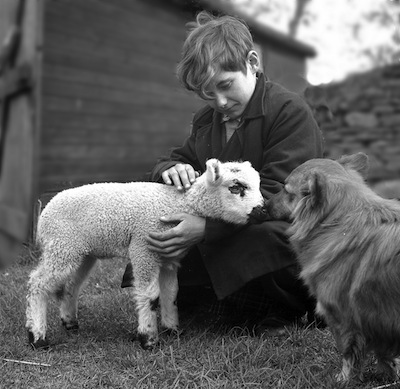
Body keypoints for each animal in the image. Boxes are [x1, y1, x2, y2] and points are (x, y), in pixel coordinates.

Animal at [26, 158, 268, 348]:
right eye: (236, 187)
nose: (263, 210)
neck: (181, 203)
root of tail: (45, 212)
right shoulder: (144, 248)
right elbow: (150, 296)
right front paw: (148, 338)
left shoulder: (169, 257)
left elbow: (171, 293)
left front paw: (173, 330)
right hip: (62, 245)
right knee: (37, 283)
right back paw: (37, 336)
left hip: (81, 251)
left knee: (71, 285)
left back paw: (70, 323)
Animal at [268, 152, 400, 382]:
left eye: (286, 190)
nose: (264, 204)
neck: (336, 223)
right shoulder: (380, 320)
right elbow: (385, 353)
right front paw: (390, 372)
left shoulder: (343, 317)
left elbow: (349, 353)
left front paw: (344, 379)